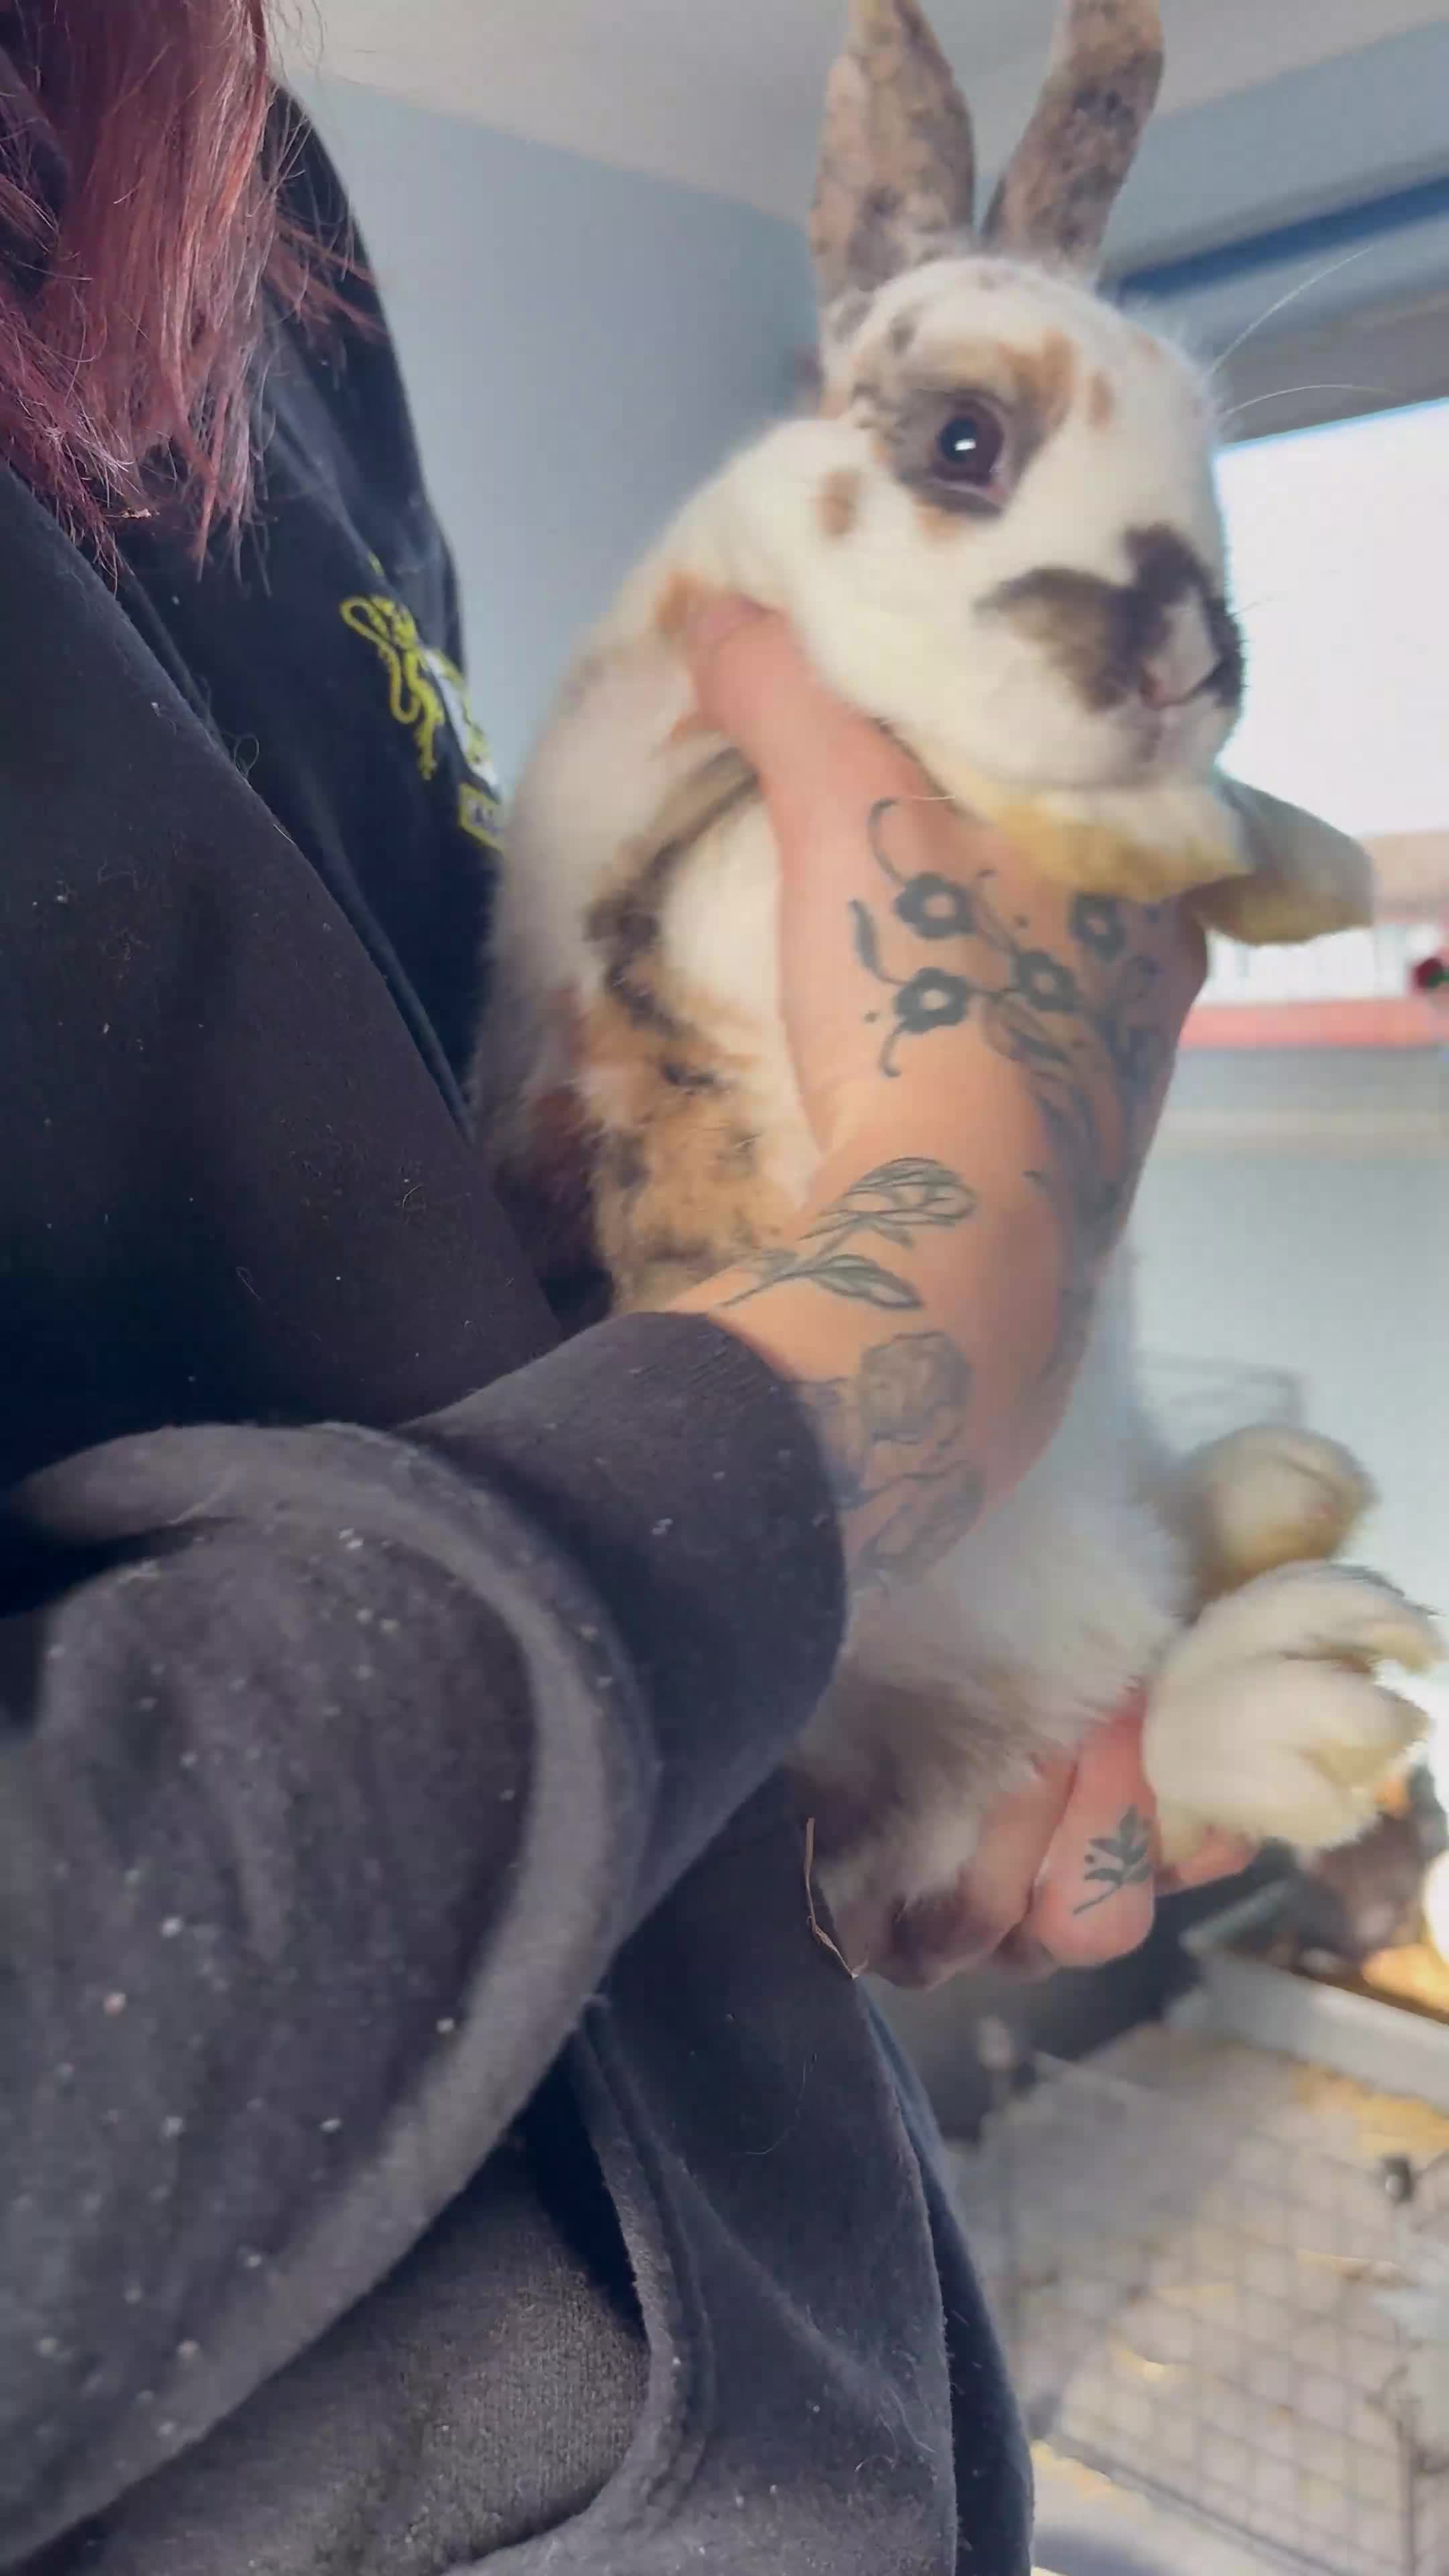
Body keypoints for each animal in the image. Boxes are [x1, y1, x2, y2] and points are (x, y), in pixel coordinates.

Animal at [481, 0, 1443, 1984]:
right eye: (961, 439)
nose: (1187, 656)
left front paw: (1299, 862)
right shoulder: (696, 861)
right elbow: (907, 774)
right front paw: (1152, 828)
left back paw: (1281, 1496)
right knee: (1078, 1747)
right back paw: (1305, 1680)